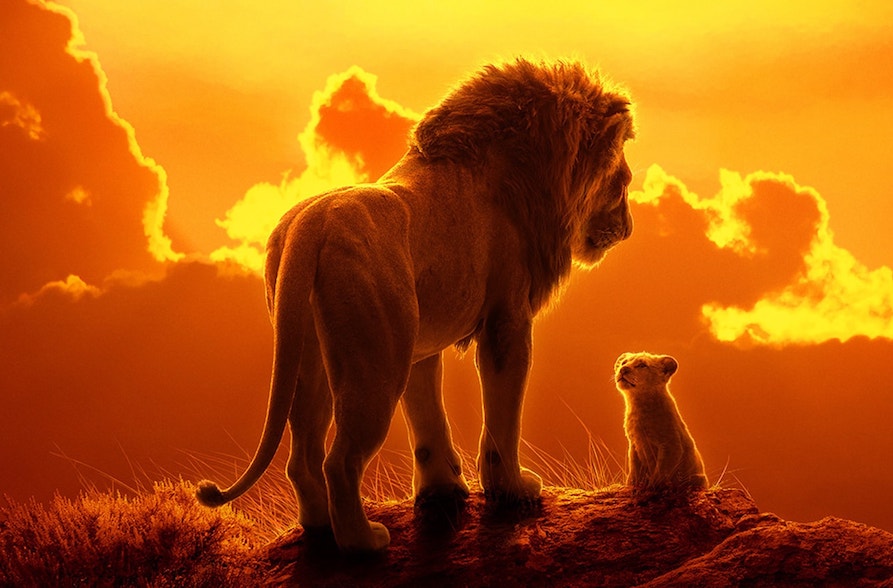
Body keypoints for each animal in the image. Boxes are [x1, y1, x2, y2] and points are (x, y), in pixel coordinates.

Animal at [197, 58, 635, 552]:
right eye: (622, 183)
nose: (629, 228)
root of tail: (310, 226)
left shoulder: (420, 344)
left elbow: (427, 419)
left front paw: (442, 490)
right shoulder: (506, 321)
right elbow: (502, 417)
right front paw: (513, 490)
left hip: (312, 357)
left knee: (303, 456)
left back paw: (320, 528)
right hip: (375, 364)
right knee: (340, 461)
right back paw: (363, 542)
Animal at [614, 352, 709, 491]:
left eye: (642, 365)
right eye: (624, 362)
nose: (623, 369)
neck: (637, 404)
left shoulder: (671, 445)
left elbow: (661, 471)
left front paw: (652, 487)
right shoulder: (634, 445)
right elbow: (634, 469)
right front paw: (632, 485)